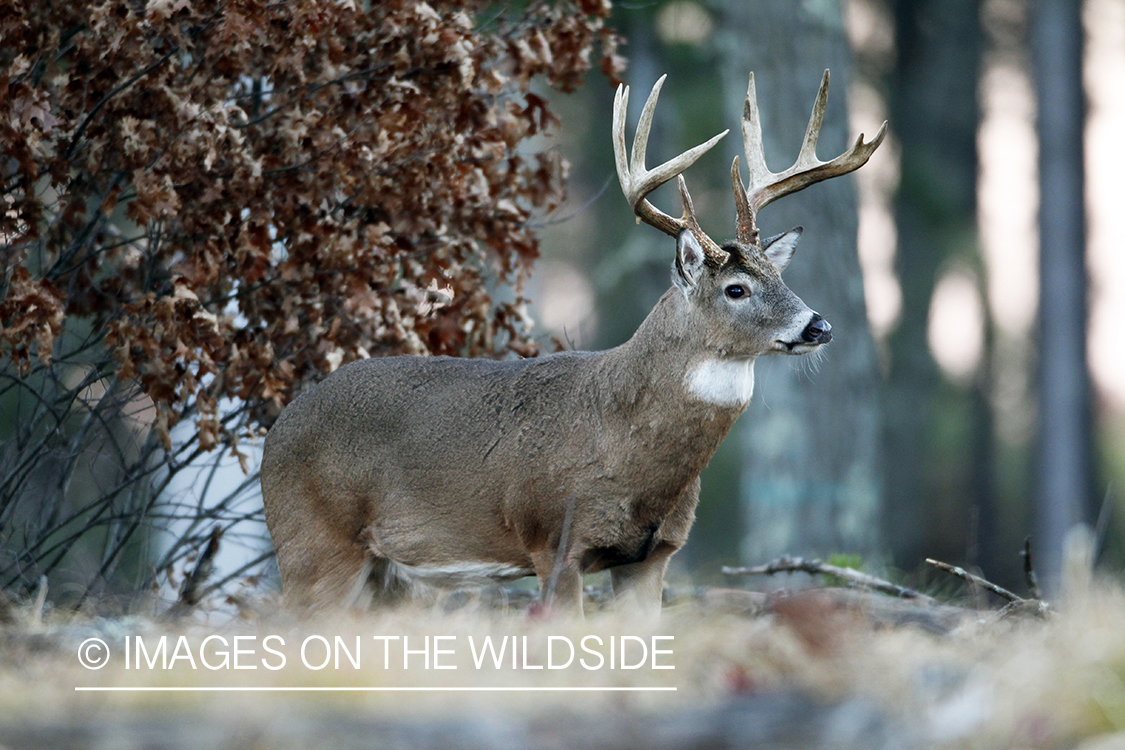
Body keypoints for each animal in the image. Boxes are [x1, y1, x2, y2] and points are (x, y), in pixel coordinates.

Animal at [258, 68, 882, 616]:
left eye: (780, 277)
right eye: (736, 288)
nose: (818, 327)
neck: (628, 452)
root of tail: (276, 429)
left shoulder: (653, 556)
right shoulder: (552, 538)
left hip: (390, 574)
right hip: (312, 544)